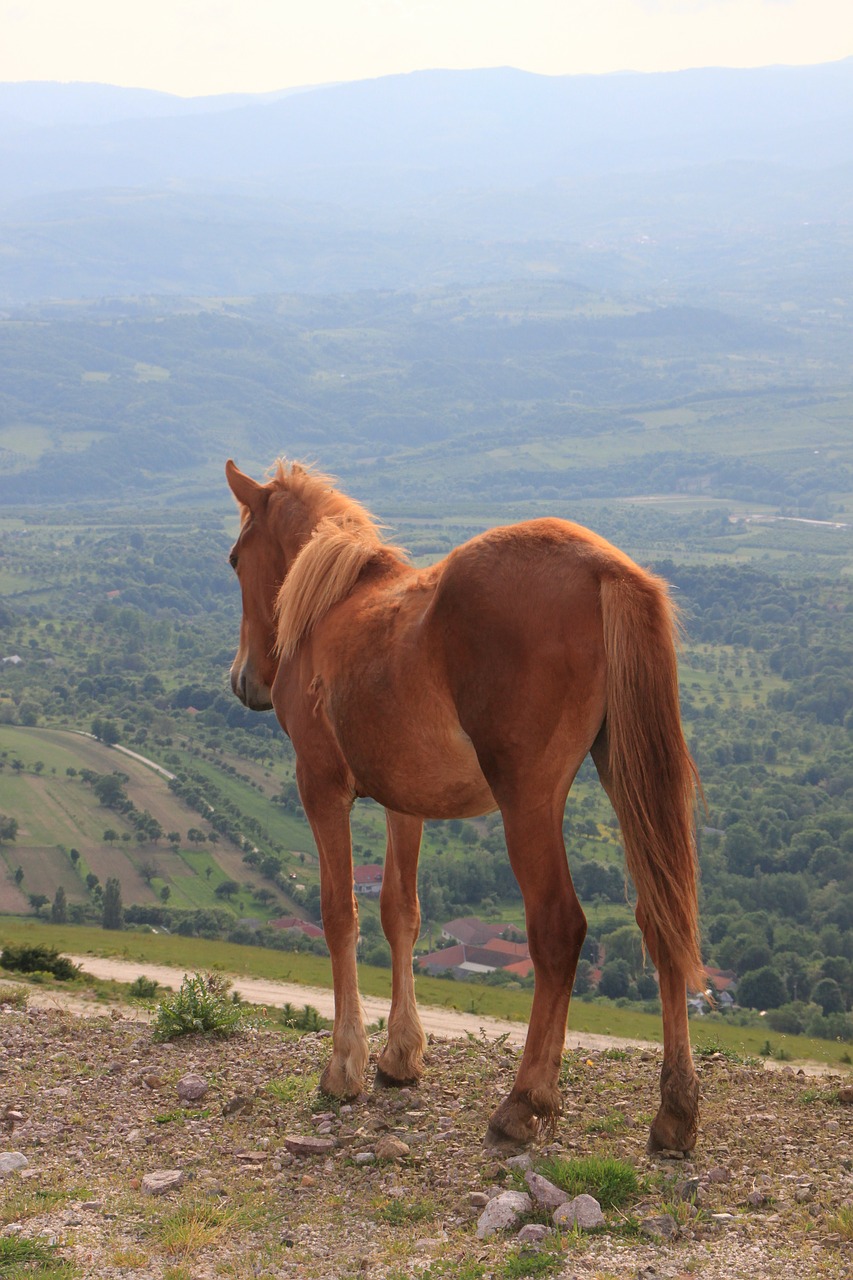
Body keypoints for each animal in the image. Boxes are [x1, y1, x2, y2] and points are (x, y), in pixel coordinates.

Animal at [224, 458, 696, 1152]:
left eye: (236, 558)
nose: (245, 681)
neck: (332, 607)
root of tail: (605, 569)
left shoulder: (321, 789)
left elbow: (340, 915)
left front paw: (344, 1067)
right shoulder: (405, 803)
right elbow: (401, 914)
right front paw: (400, 1056)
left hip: (529, 801)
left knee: (559, 928)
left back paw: (524, 1102)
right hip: (627, 778)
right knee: (661, 919)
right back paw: (676, 1112)